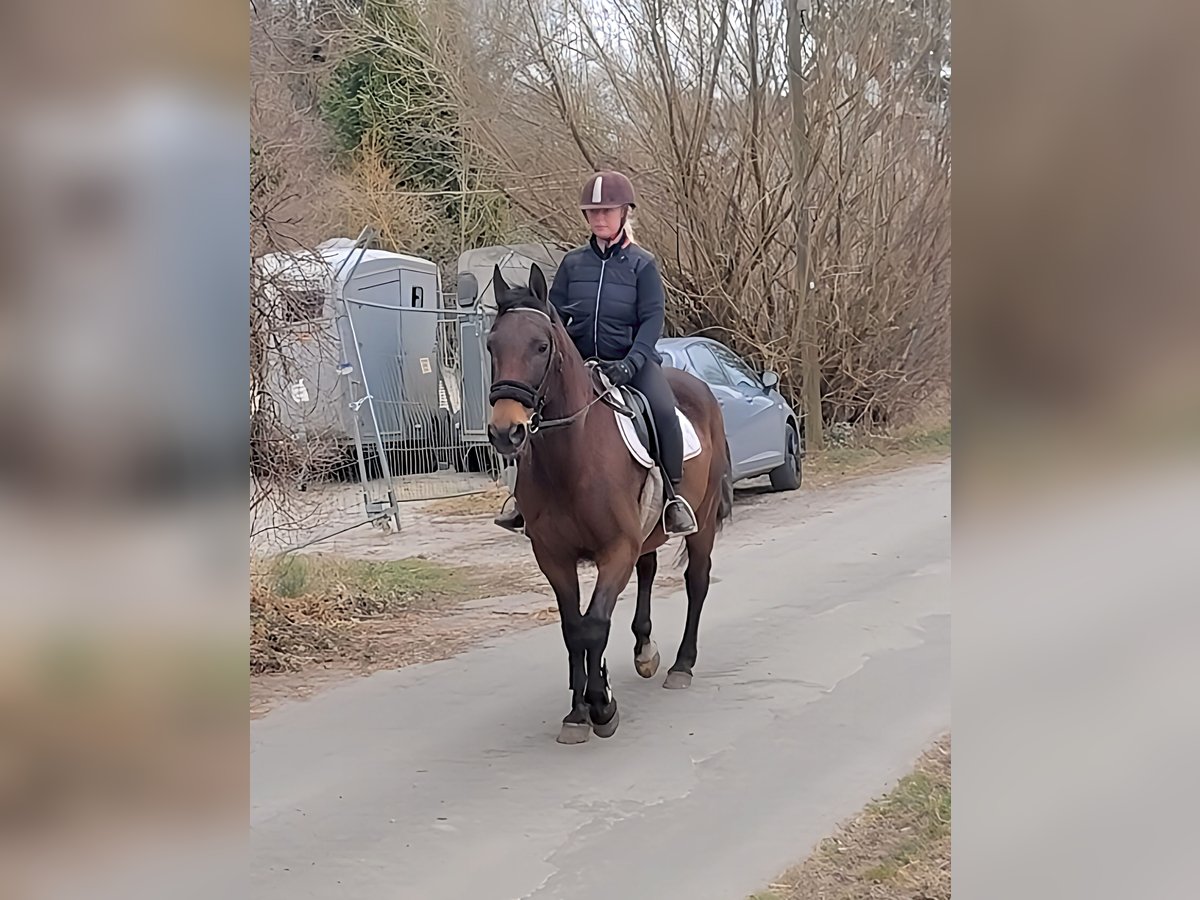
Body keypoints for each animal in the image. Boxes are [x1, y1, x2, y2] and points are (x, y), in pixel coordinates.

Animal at [484, 262, 729, 748]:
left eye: (541, 346)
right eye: (491, 345)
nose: (506, 431)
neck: (572, 457)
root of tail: (700, 387)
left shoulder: (615, 549)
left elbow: (595, 624)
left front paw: (602, 707)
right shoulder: (553, 557)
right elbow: (573, 628)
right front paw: (577, 711)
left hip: (703, 520)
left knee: (696, 581)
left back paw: (681, 665)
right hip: (648, 533)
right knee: (648, 570)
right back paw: (645, 650)